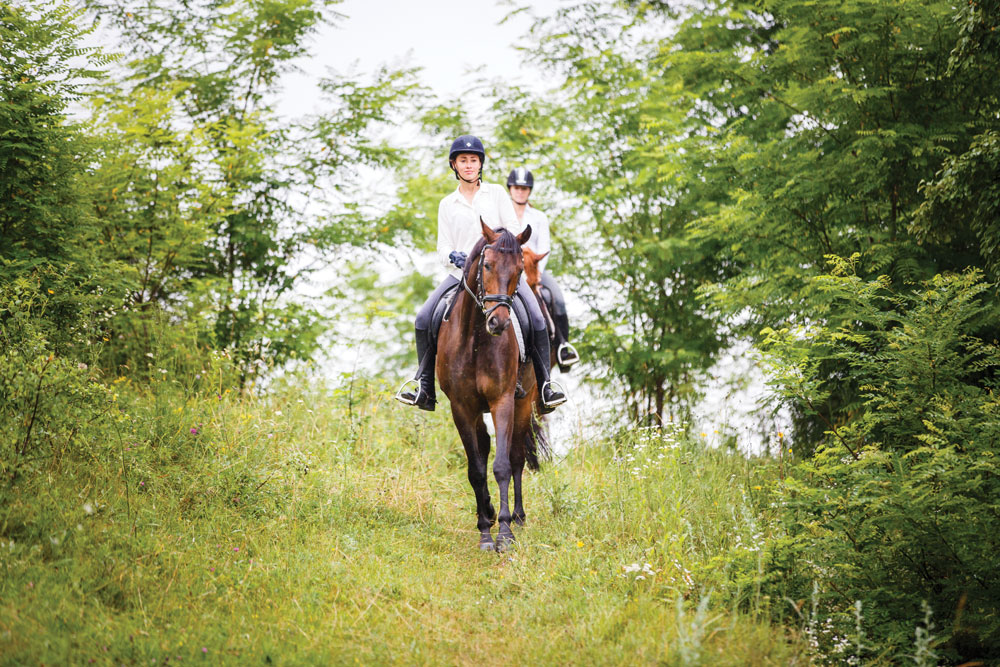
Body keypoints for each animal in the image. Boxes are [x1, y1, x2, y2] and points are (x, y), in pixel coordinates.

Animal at [436, 222, 548, 552]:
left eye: (519, 270)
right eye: (487, 266)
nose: (498, 322)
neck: (475, 338)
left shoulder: (503, 401)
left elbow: (502, 466)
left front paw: (505, 533)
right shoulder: (461, 407)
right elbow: (476, 469)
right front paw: (485, 531)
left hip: (524, 402)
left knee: (516, 457)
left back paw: (518, 517)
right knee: (483, 448)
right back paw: (484, 511)